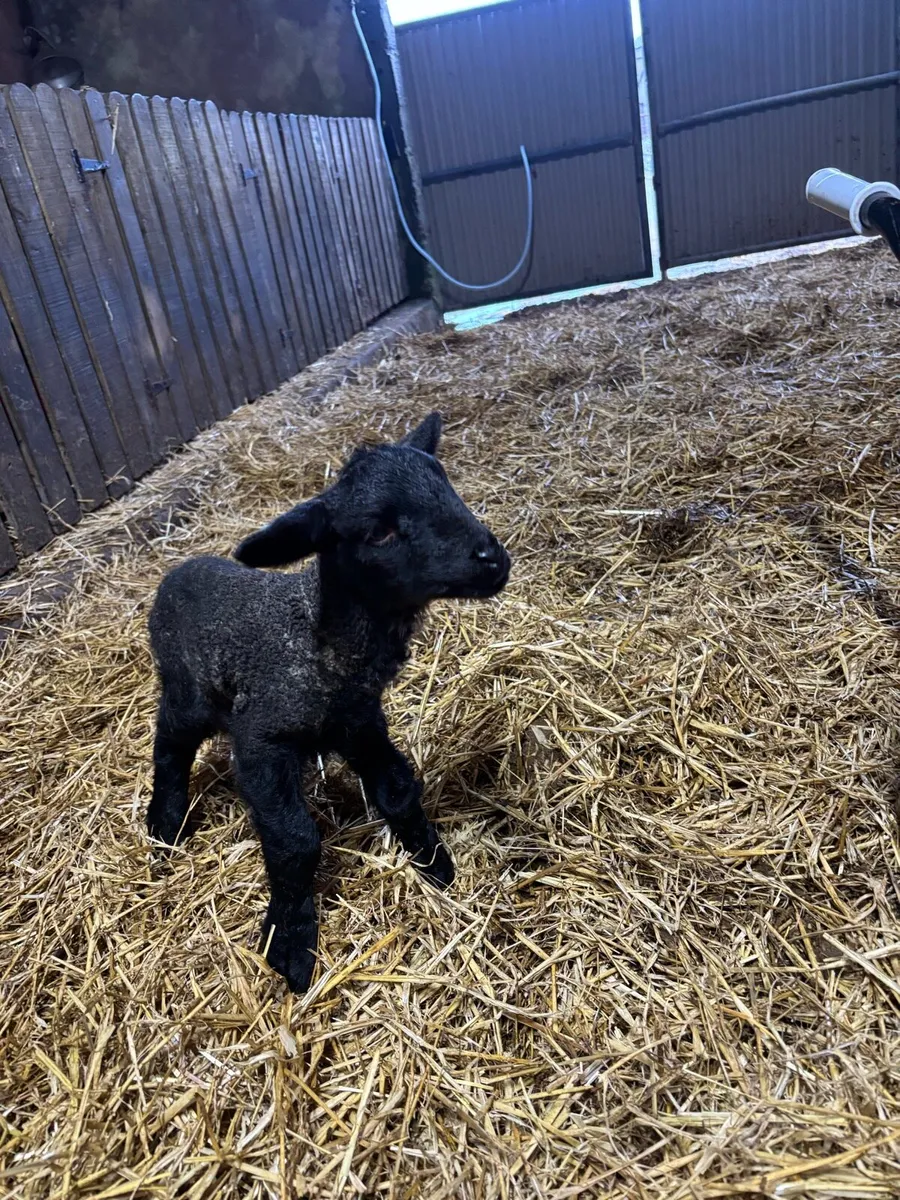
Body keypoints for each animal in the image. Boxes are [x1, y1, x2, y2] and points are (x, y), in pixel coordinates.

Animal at [147, 413, 510, 991]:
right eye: (378, 531)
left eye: (446, 486)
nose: (491, 559)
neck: (323, 645)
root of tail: (174, 573)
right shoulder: (261, 740)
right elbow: (295, 839)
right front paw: (290, 944)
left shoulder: (361, 723)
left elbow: (398, 789)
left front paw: (434, 862)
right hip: (187, 692)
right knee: (169, 744)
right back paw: (165, 823)